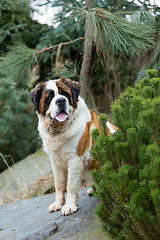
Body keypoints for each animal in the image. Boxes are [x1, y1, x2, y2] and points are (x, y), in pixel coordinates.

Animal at [30, 78, 117, 216]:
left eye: (65, 94)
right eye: (50, 97)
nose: (61, 100)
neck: (58, 132)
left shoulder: (75, 159)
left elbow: (70, 185)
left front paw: (69, 205)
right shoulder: (55, 161)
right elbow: (59, 184)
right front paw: (58, 203)